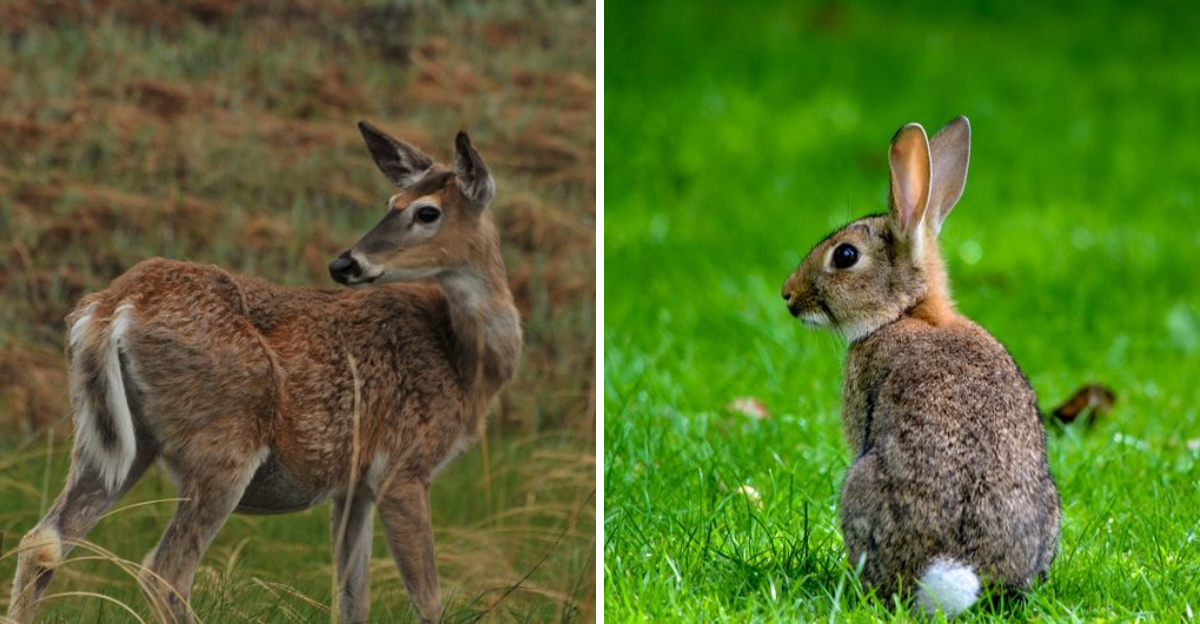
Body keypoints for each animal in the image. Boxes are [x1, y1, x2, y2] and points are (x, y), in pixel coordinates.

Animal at [7, 121, 522, 624]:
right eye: (393, 204)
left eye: (426, 212)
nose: (345, 263)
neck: (464, 361)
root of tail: (115, 305)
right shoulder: (405, 466)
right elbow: (428, 600)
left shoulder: (354, 485)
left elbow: (353, 599)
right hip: (224, 439)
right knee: (164, 571)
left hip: (113, 438)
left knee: (44, 541)